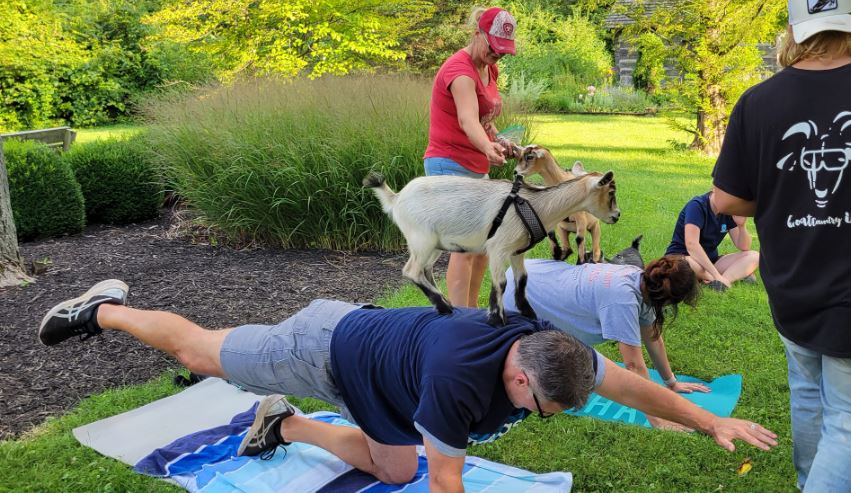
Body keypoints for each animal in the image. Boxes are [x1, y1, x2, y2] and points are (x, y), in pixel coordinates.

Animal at [362, 171, 624, 324]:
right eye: (611, 191)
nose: (617, 216)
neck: (537, 204)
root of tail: (396, 199)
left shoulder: (518, 251)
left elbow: (522, 280)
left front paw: (528, 312)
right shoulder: (498, 248)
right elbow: (501, 282)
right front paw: (497, 319)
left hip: (434, 244)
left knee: (425, 270)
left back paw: (444, 303)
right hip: (421, 238)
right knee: (411, 271)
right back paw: (444, 306)